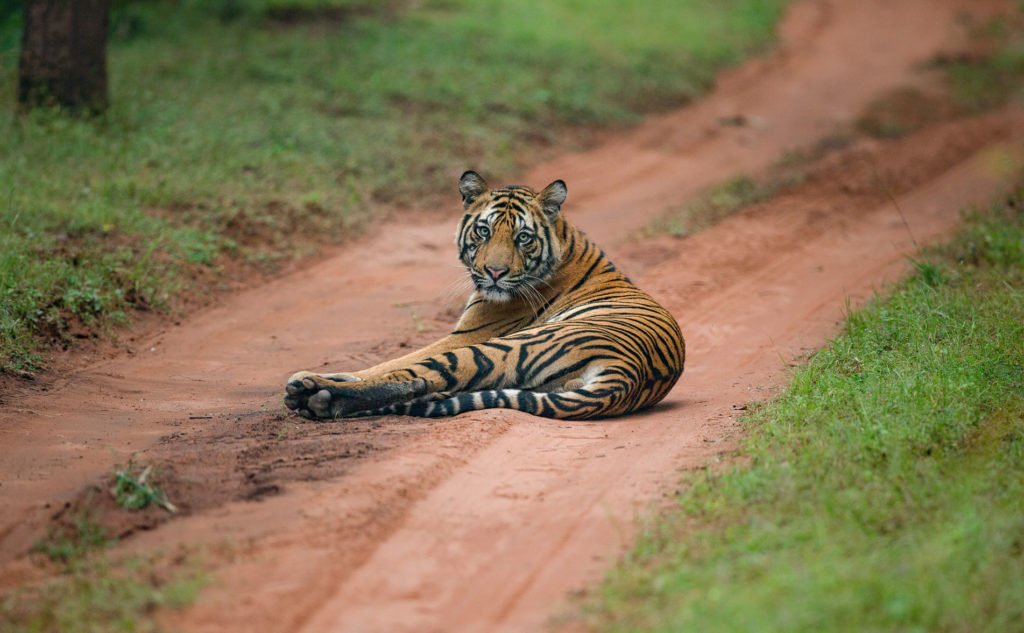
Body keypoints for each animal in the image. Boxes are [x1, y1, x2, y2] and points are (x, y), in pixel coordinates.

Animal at [283, 171, 685, 420]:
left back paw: (316, 398)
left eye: (523, 237)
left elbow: (390, 364)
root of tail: (628, 374)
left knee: (420, 375)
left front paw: (312, 379)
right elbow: (375, 366)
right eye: (483, 231)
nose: (495, 272)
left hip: (497, 349)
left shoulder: (466, 334)